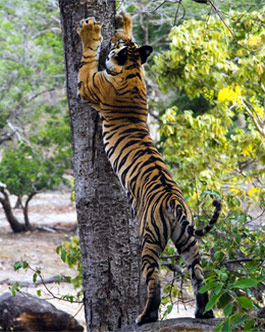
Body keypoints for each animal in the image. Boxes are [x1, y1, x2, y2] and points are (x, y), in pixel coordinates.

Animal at [77, 11, 221, 326]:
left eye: (114, 43)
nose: (113, 34)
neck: (131, 69)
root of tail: (174, 201)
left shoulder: (88, 85)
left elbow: (87, 56)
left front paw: (90, 31)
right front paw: (124, 19)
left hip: (149, 239)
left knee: (153, 281)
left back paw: (145, 317)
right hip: (188, 241)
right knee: (199, 274)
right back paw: (203, 312)